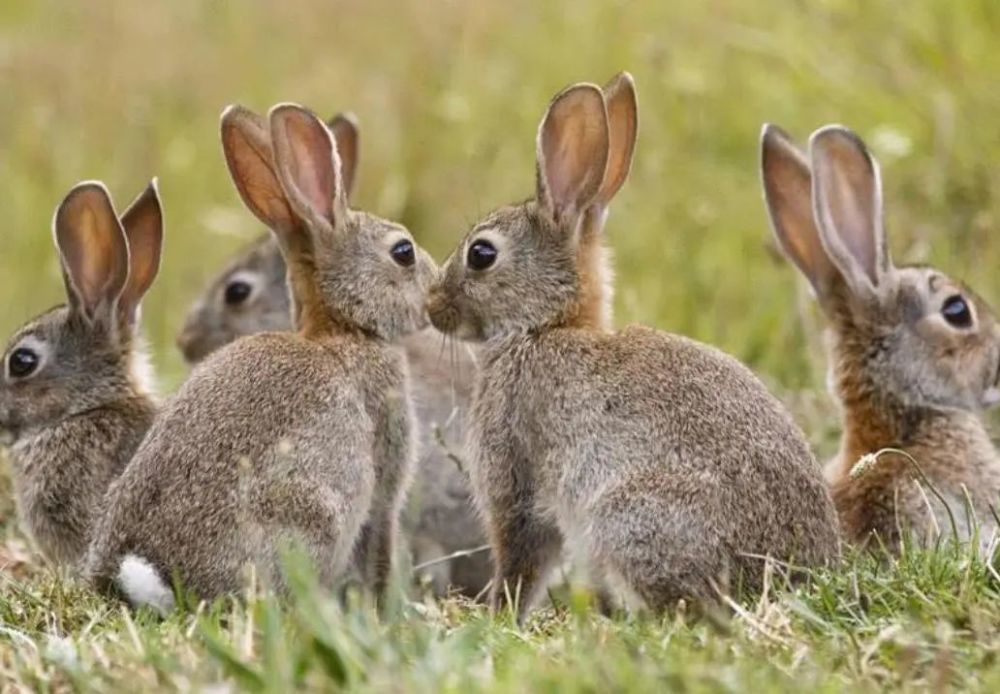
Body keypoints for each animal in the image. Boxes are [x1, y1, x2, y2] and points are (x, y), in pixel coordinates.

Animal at [81, 103, 434, 616]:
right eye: (402, 252)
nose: (436, 290)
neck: (343, 329)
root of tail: (150, 576)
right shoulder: (383, 482)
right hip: (310, 514)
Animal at [426, 75, 840, 620]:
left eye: (481, 254)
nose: (431, 305)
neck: (544, 326)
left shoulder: (515, 477)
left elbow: (521, 557)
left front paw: (500, 614)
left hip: (626, 518)